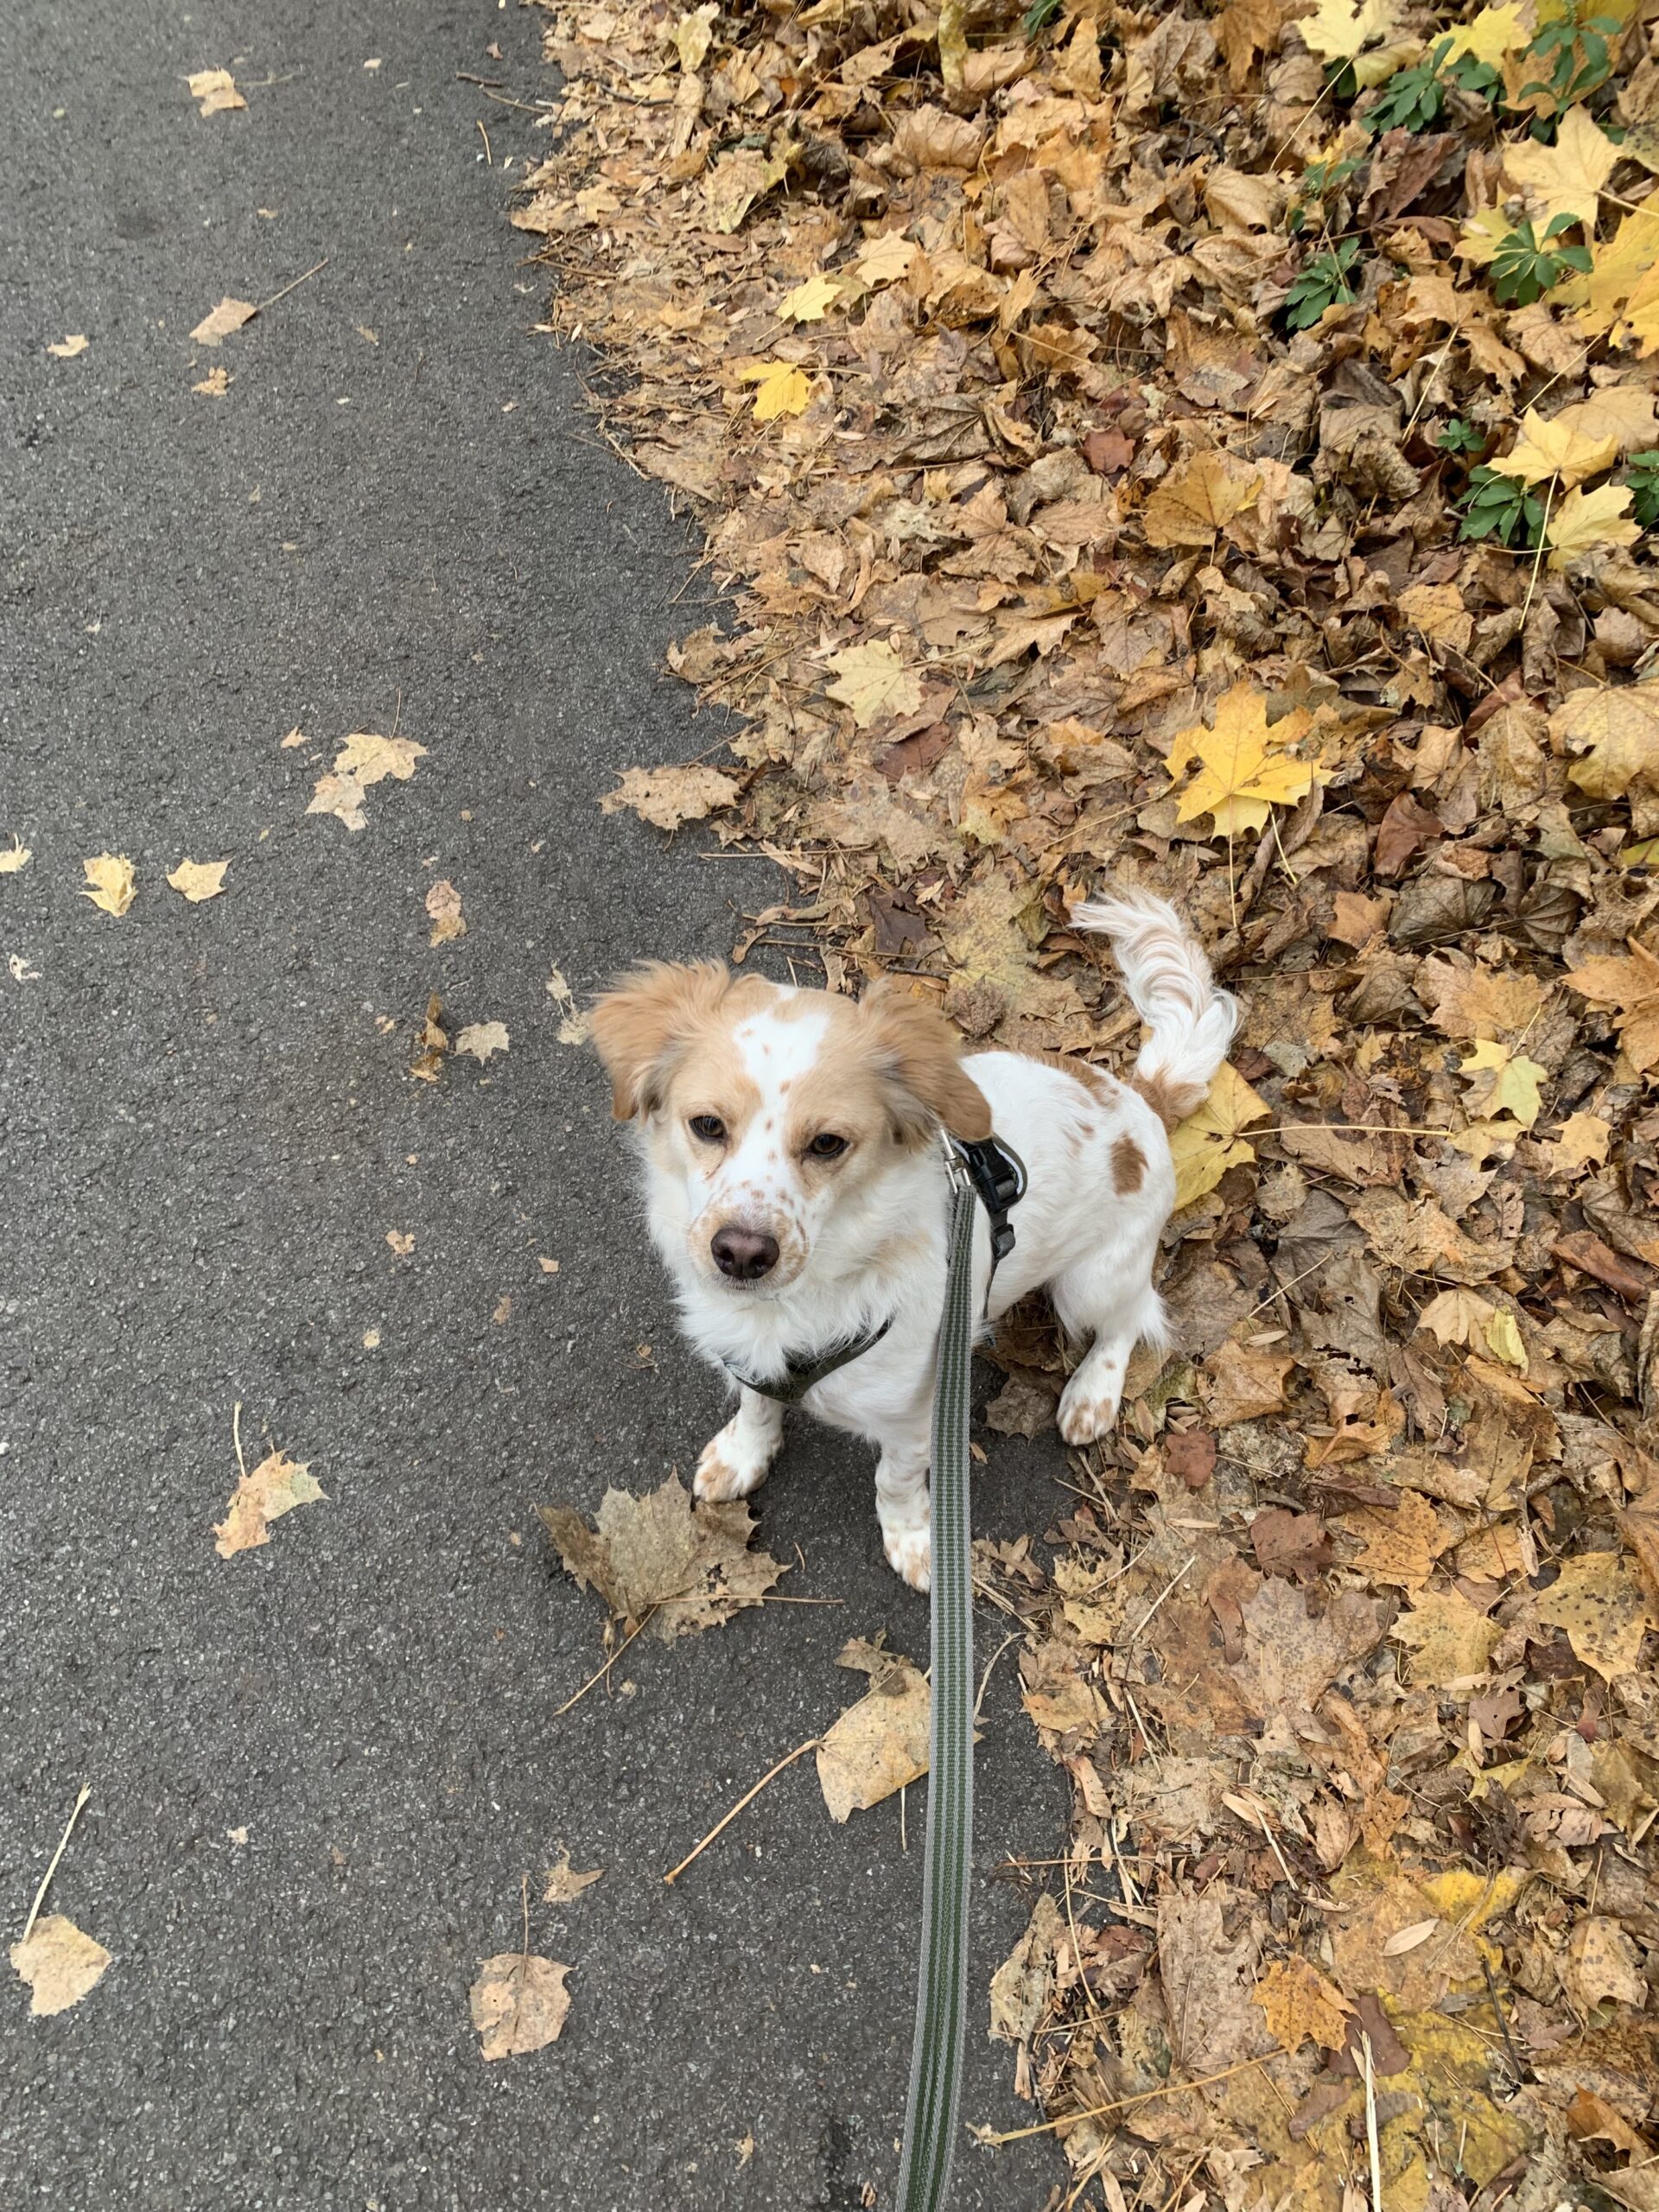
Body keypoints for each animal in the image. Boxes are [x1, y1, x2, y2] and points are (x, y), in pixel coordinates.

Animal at [593, 893, 1238, 1592]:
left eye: (828, 1143)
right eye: (707, 1125)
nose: (741, 1253)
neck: (801, 1301)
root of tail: (1140, 1099)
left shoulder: (915, 1416)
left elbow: (893, 1483)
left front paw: (915, 1541)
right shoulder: (752, 1358)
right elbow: (757, 1406)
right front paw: (744, 1455)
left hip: (1090, 1282)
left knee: (1128, 1321)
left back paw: (1093, 1393)